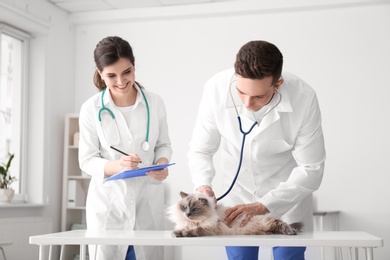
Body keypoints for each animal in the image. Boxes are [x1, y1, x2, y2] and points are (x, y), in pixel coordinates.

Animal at [167, 191, 302, 238]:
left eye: (195, 209)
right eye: (184, 207)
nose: (188, 214)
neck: (194, 221)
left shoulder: (207, 229)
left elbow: (193, 231)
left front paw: (184, 234)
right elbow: (182, 229)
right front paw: (176, 233)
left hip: (267, 222)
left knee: (281, 224)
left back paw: (291, 231)